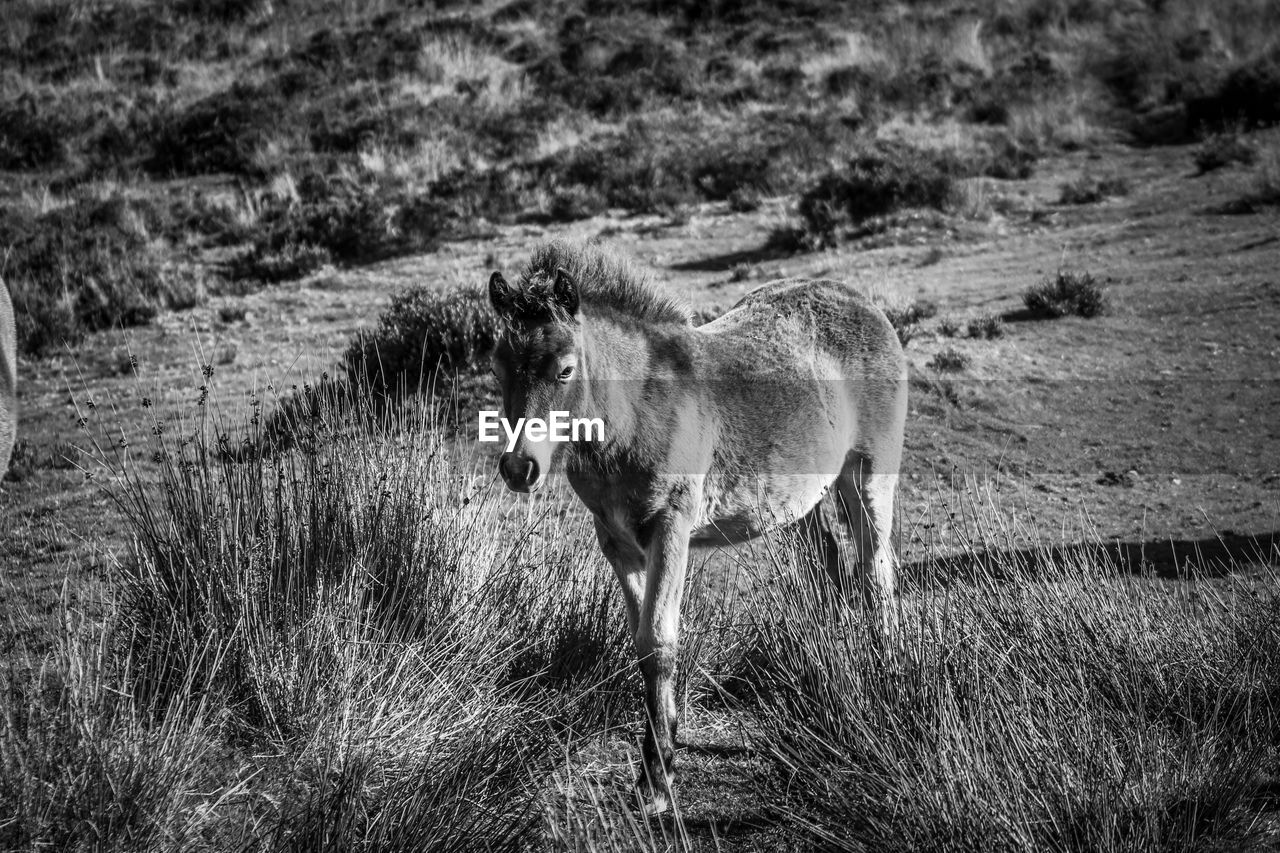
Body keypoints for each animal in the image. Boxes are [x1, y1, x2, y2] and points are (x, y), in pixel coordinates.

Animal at [483, 242, 906, 814]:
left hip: (868, 479)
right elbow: (642, 645)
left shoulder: (671, 530)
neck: (634, 410)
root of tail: (865, 305)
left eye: (565, 370)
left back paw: (886, 677)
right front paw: (662, 759)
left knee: (876, 572)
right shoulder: (617, 543)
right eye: (499, 368)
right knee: (832, 570)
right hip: (803, 501)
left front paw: (656, 784)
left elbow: (658, 642)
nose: (518, 468)